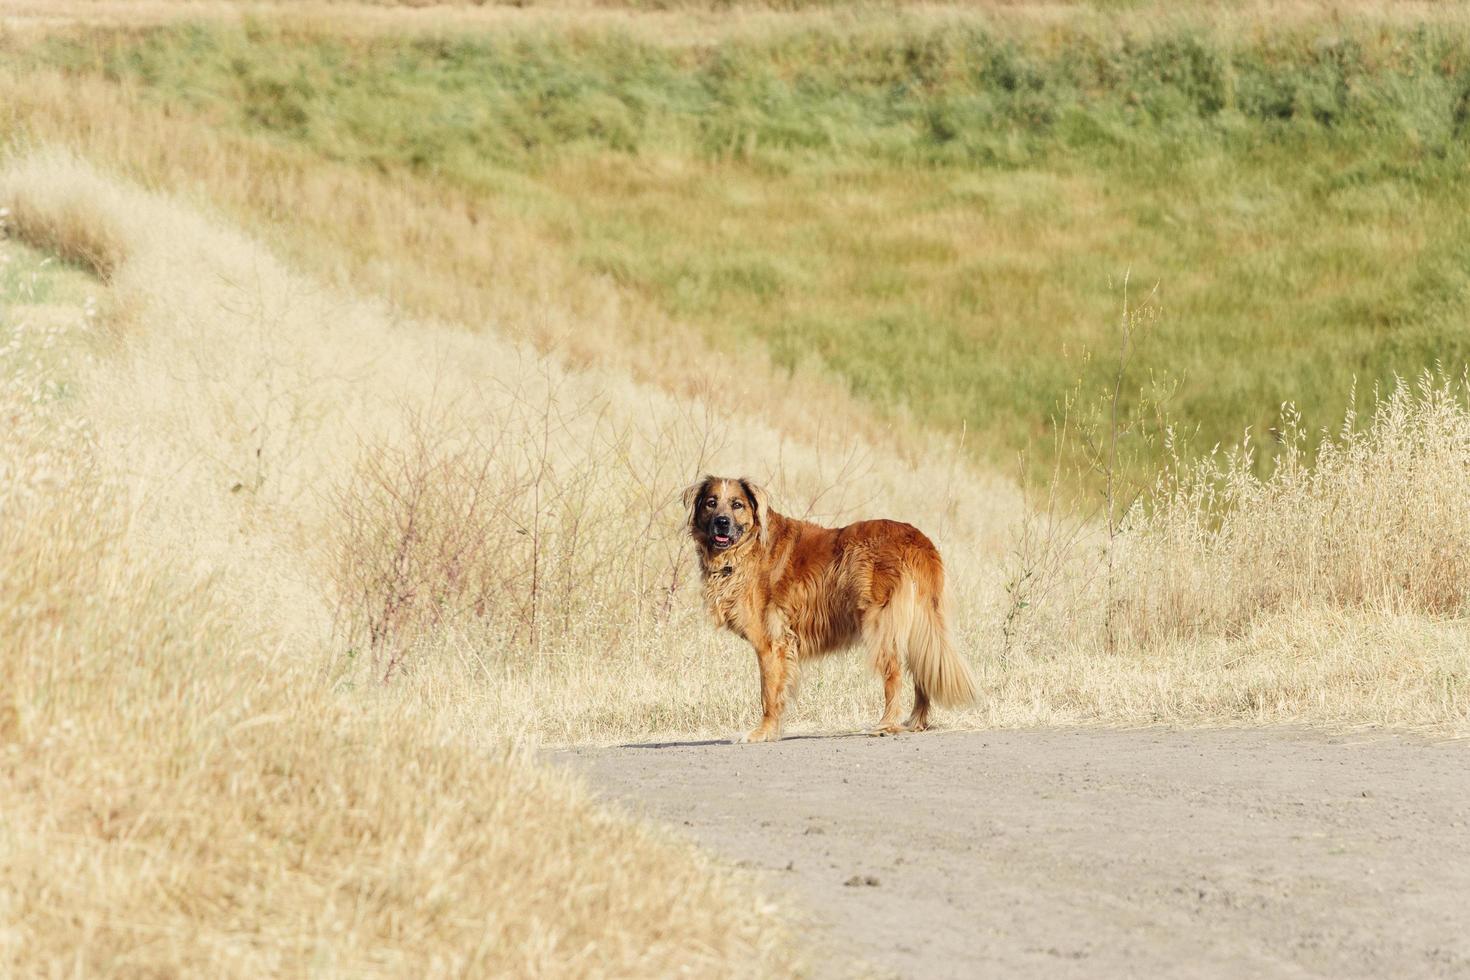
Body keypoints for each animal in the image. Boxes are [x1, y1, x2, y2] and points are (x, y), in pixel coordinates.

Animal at [685, 476, 976, 743]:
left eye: (737, 504)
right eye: (711, 503)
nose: (722, 522)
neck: (747, 547)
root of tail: (916, 540)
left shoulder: (771, 644)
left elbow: (768, 694)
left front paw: (762, 733)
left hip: (881, 625)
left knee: (894, 674)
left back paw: (886, 725)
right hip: (921, 624)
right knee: (922, 672)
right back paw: (916, 722)